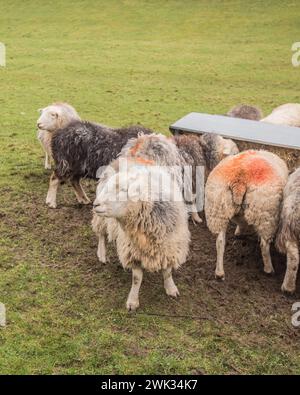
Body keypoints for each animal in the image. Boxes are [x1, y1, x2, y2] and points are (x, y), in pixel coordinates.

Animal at [92, 162, 190, 310]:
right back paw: (102, 254)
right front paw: (133, 301)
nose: (95, 204)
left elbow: (167, 272)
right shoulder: (133, 251)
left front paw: (171, 288)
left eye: (123, 190)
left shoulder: (169, 247)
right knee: (101, 234)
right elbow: (137, 279)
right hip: (102, 218)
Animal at [204, 149, 288, 282]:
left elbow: (241, 223)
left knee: (220, 242)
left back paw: (219, 273)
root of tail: (239, 178)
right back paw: (269, 269)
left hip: (218, 210)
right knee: (264, 245)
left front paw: (238, 232)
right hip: (265, 213)